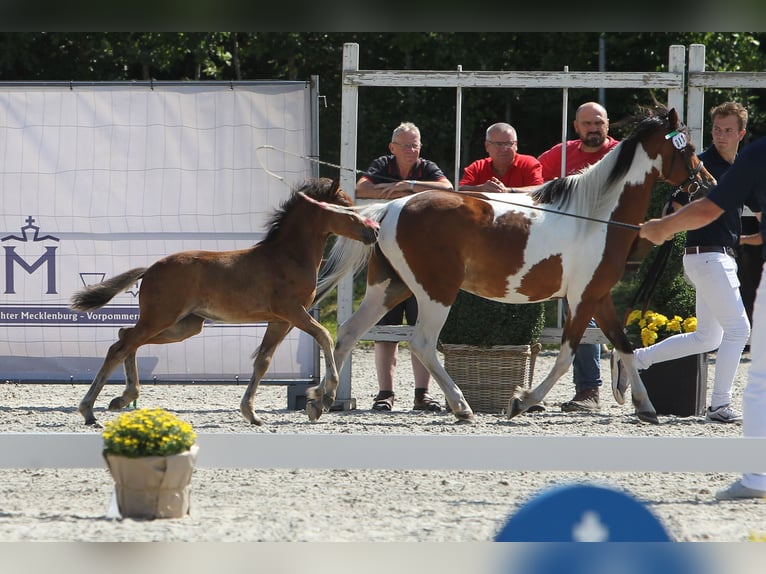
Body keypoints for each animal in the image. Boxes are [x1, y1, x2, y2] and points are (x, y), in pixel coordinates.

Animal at [71, 180, 380, 428]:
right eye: (348, 208)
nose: (375, 231)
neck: (288, 256)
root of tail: (151, 269)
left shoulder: (279, 320)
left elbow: (263, 361)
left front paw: (252, 413)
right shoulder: (292, 311)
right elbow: (325, 336)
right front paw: (323, 398)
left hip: (184, 326)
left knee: (126, 339)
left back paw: (122, 398)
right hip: (161, 317)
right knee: (120, 346)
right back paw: (89, 411)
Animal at [308, 107, 716, 428]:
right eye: (689, 149)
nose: (708, 182)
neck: (596, 217)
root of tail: (392, 207)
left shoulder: (599, 296)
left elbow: (624, 346)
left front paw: (646, 407)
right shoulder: (582, 299)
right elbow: (566, 356)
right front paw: (521, 402)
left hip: (390, 287)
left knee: (347, 332)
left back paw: (322, 399)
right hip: (436, 292)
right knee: (421, 343)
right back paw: (462, 407)